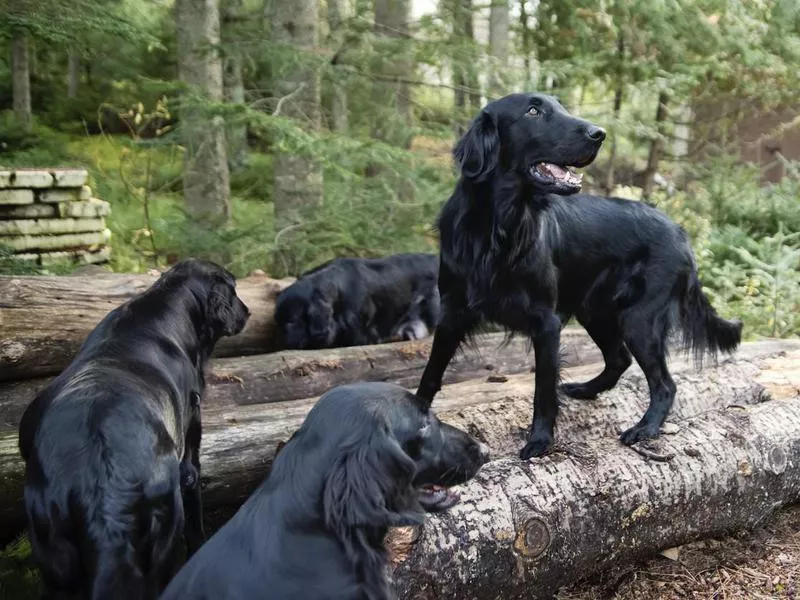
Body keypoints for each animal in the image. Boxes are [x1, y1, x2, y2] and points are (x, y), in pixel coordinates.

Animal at [18, 258, 250, 600]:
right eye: (233, 290)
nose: (247, 311)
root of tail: (102, 489)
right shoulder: (190, 460)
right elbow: (196, 526)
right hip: (165, 526)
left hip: (54, 556)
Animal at [418, 92, 744, 460]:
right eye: (533, 110)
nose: (598, 134)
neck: (498, 228)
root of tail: (680, 231)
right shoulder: (453, 312)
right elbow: (430, 374)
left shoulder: (546, 323)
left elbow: (543, 389)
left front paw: (539, 440)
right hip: (595, 311)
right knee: (619, 359)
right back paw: (586, 389)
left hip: (639, 318)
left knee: (665, 384)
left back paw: (644, 429)